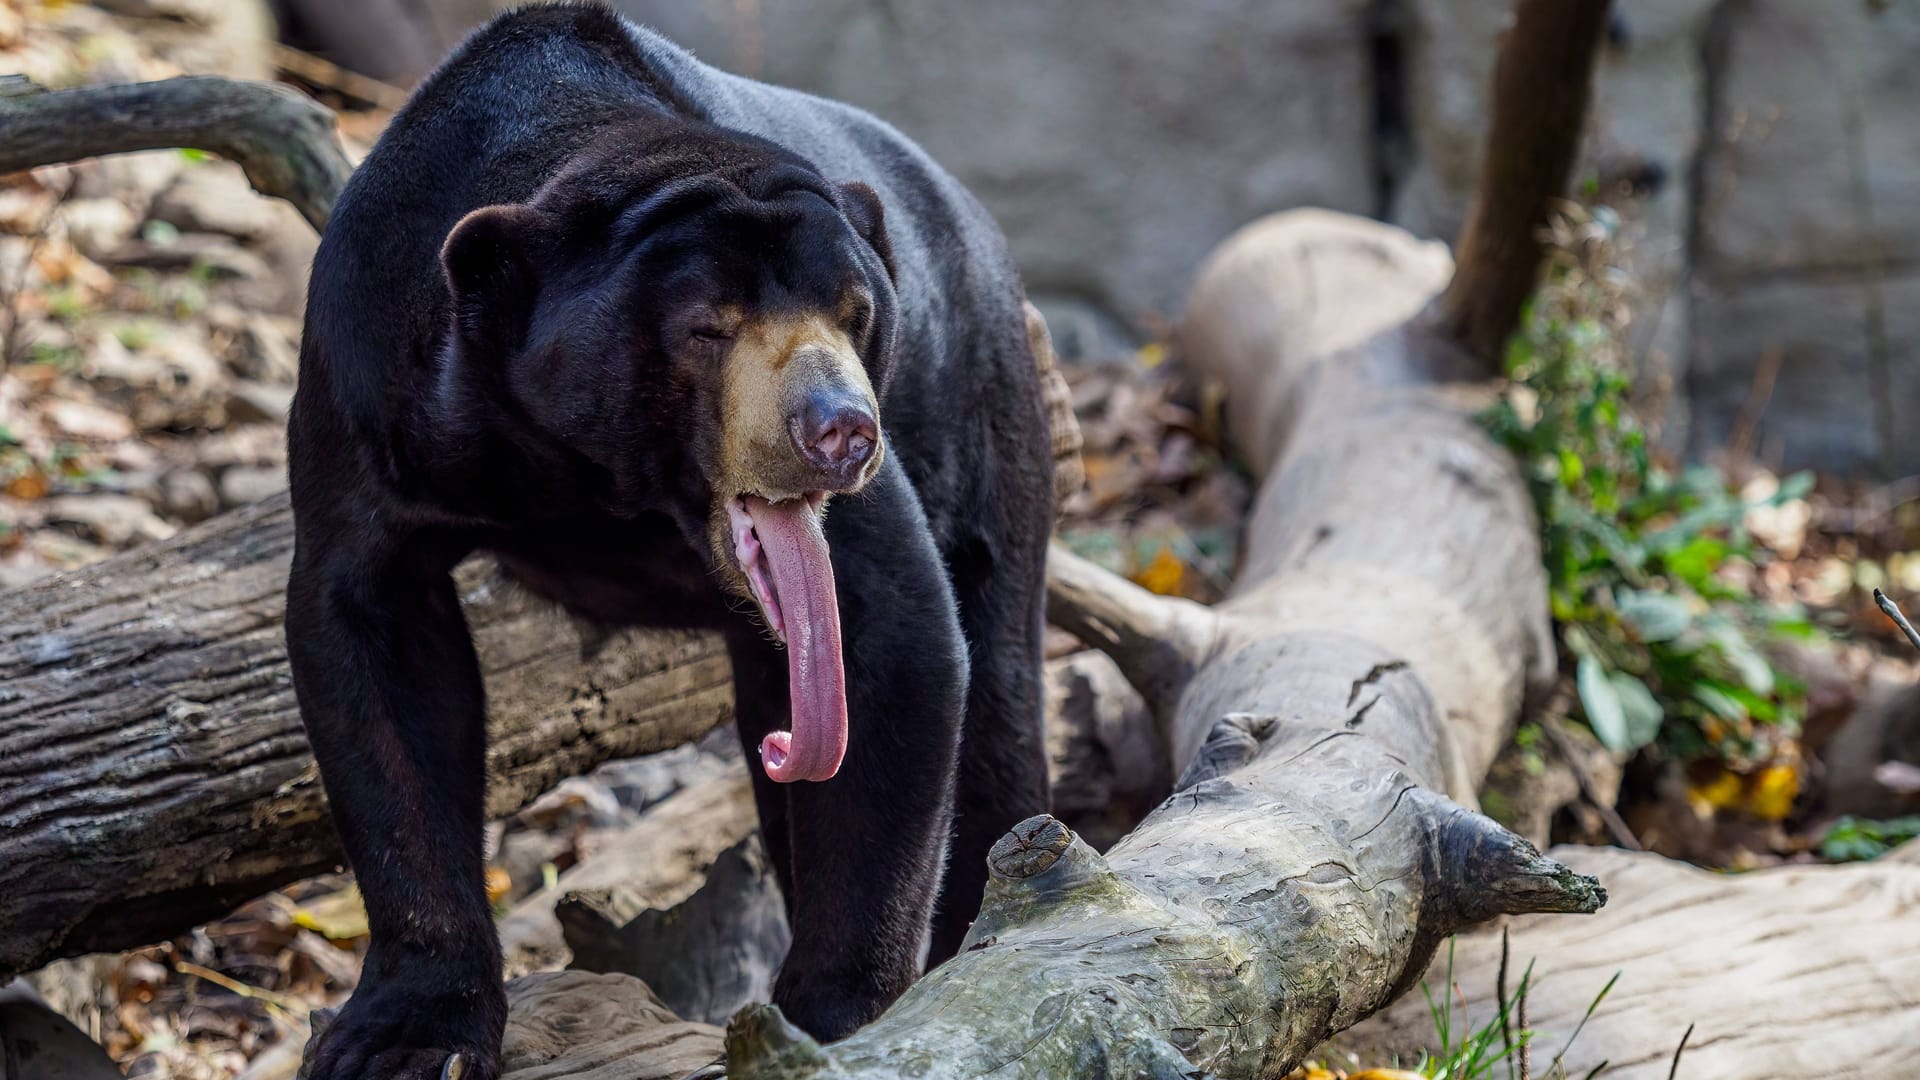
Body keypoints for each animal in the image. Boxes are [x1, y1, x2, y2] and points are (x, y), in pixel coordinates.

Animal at [288, 4, 1052, 1068]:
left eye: (856, 315)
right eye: (706, 328)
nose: (842, 431)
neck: (605, 477)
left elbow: (891, 630)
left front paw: (837, 1015)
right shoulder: (367, 384)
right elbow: (374, 649)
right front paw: (402, 1039)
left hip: (986, 418)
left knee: (999, 700)